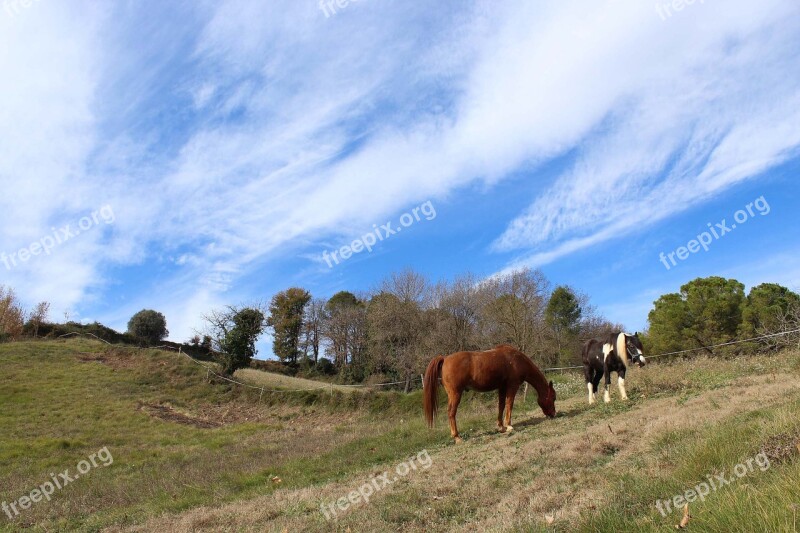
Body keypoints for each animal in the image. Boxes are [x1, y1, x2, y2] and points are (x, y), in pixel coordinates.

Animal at [424, 342, 556, 442]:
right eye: (553, 398)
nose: (554, 414)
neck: (516, 360)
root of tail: (445, 358)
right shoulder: (512, 386)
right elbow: (509, 404)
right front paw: (509, 426)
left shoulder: (502, 388)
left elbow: (501, 406)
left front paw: (501, 427)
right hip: (455, 394)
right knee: (451, 412)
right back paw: (457, 437)